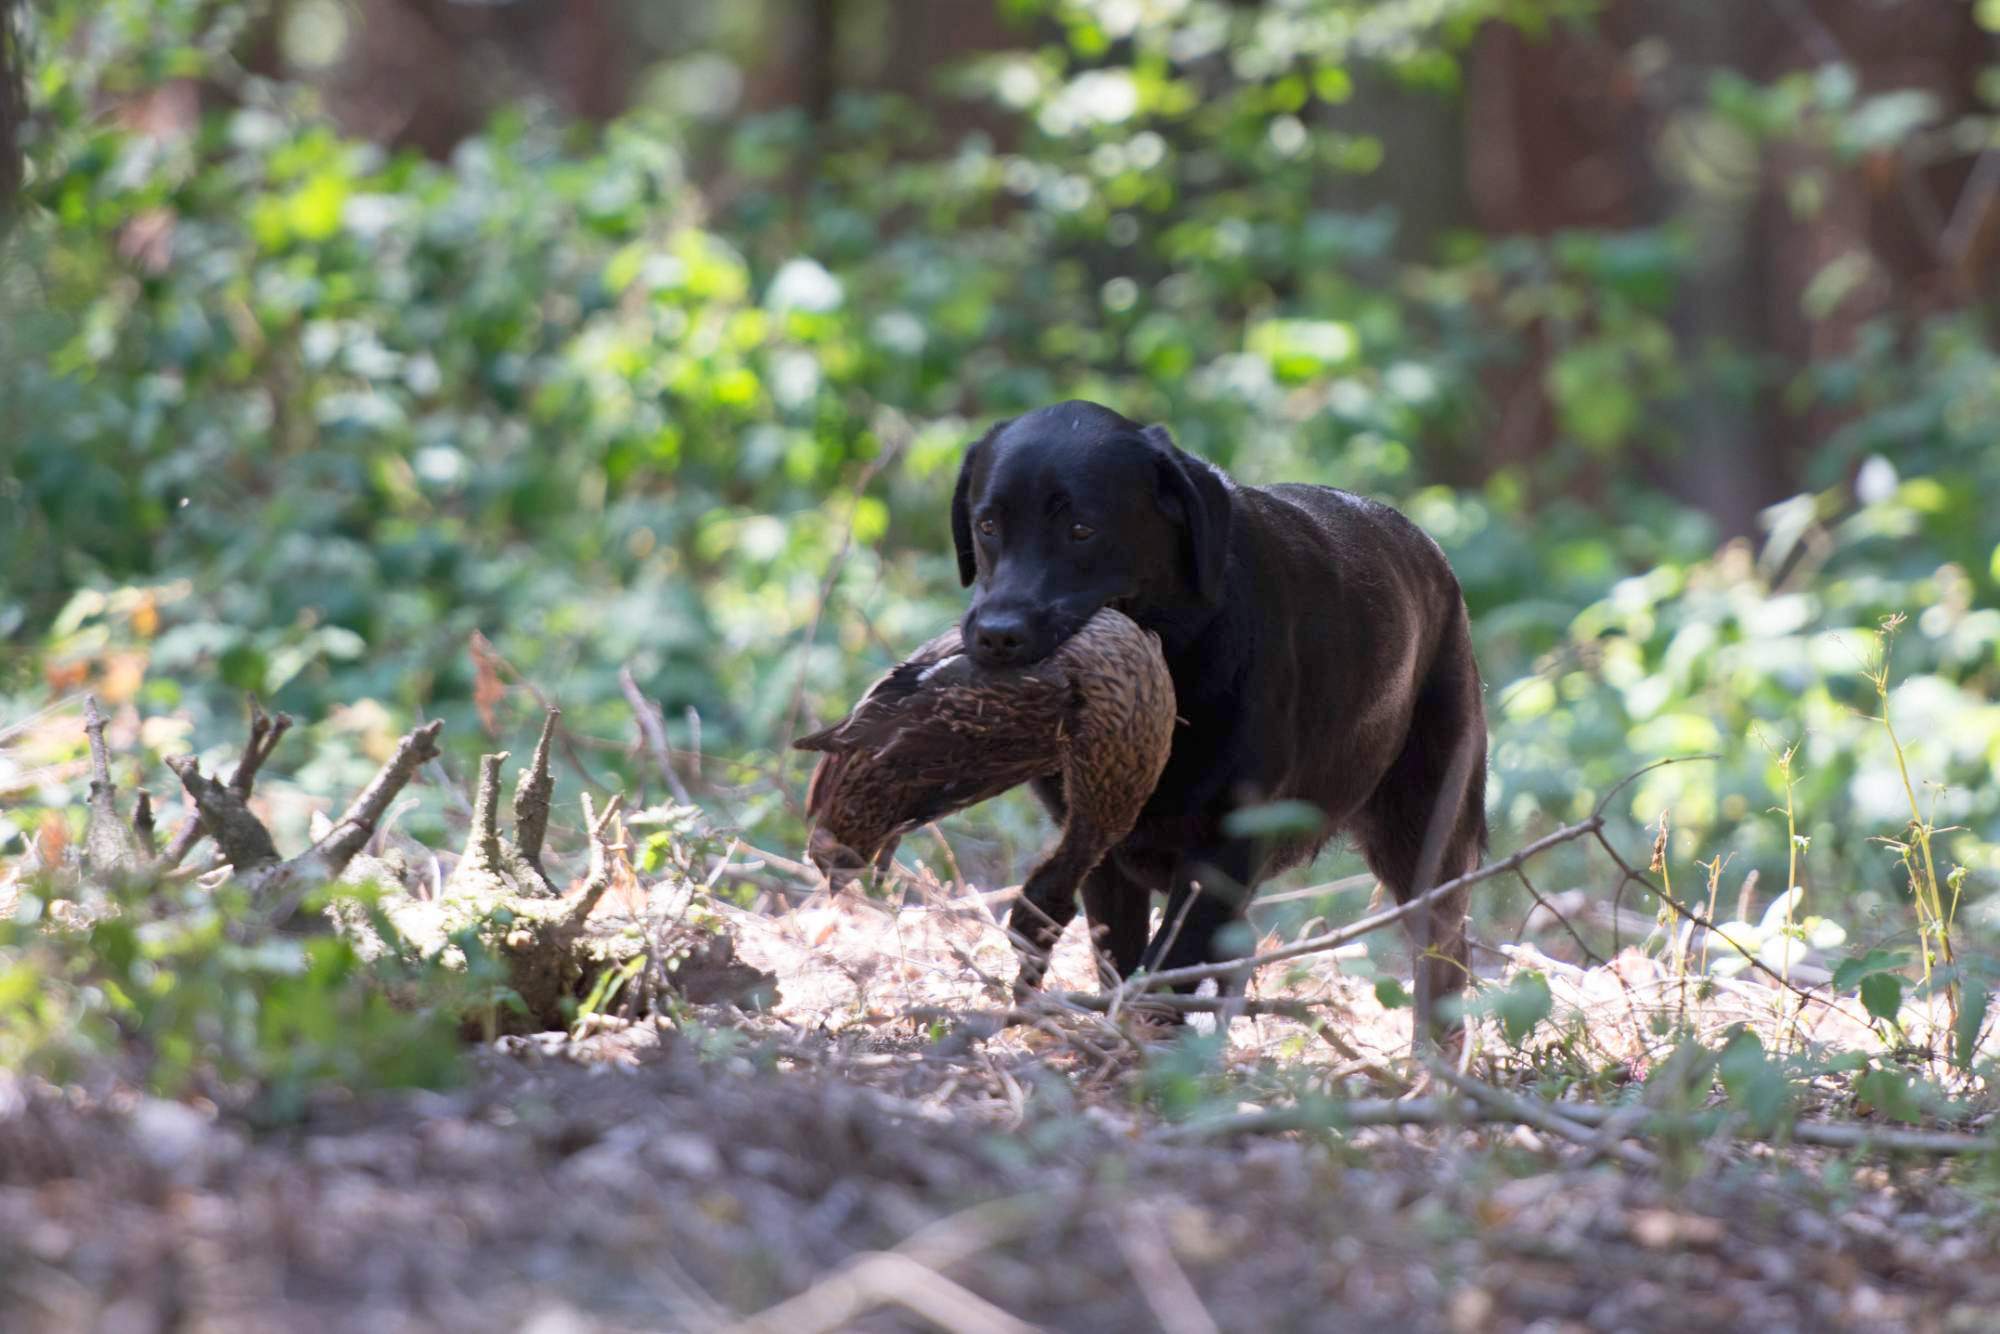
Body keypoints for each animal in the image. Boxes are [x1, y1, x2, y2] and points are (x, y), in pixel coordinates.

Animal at [952, 402, 1488, 1040]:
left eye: (1082, 530)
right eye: (987, 526)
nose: (997, 634)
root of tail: (1435, 558)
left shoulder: (1225, 847)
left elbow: (1169, 963)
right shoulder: (1100, 850)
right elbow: (1121, 957)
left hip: (1428, 836)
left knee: (1443, 964)